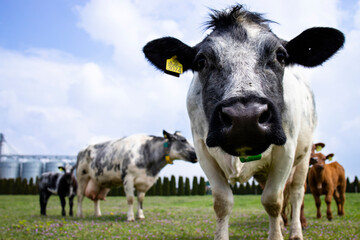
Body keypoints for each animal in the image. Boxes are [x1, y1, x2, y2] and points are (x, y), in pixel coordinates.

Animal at [143, 4, 344, 240]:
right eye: (201, 62)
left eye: (281, 56)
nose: (244, 118)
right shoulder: (202, 151)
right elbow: (222, 202)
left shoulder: (286, 150)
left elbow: (273, 201)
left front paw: (277, 235)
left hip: (303, 158)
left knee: (295, 193)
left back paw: (295, 231)